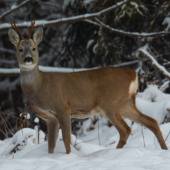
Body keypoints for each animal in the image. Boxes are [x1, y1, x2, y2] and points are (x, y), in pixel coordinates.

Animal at [8, 19, 168, 154]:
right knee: (152, 122)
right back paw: (164, 149)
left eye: (34, 48)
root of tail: (133, 74)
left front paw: (69, 156)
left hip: (109, 103)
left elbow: (66, 139)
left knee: (126, 129)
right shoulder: (49, 118)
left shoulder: (63, 108)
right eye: (20, 49)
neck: (39, 86)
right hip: (125, 103)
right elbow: (51, 145)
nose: (28, 59)